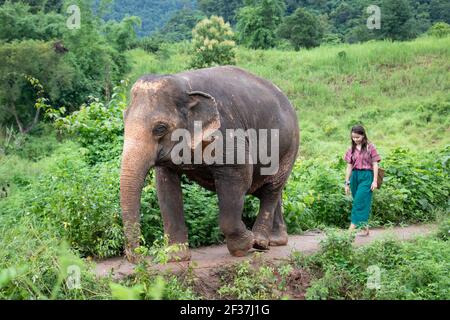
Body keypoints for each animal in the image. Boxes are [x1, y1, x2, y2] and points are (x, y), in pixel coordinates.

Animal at [119, 65, 298, 262]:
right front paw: (177, 257)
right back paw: (276, 241)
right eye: (124, 121)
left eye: (160, 128)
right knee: (270, 190)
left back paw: (259, 242)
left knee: (271, 189)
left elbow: (239, 176)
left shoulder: (227, 132)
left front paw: (243, 246)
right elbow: (166, 187)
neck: (185, 86)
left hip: (289, 148)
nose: (139, 257)